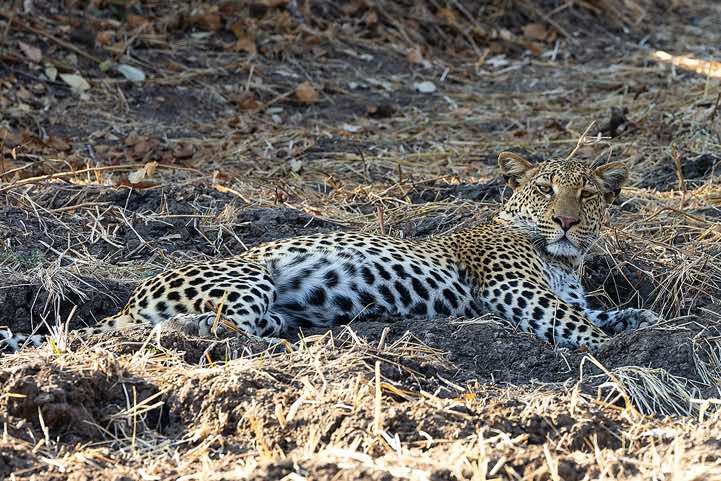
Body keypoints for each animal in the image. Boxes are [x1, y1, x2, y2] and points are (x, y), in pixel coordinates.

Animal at [1, 152, 660, 353]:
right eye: (545, 189)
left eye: (586, 195)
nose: (567, 220)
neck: (564, 260)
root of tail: (130, 298)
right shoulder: (514, 288)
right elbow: (577, 324)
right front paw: (618, 351)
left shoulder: (569, 290)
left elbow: (606, 311)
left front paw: (644, 322)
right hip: (248, 275)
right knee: (208, 329)